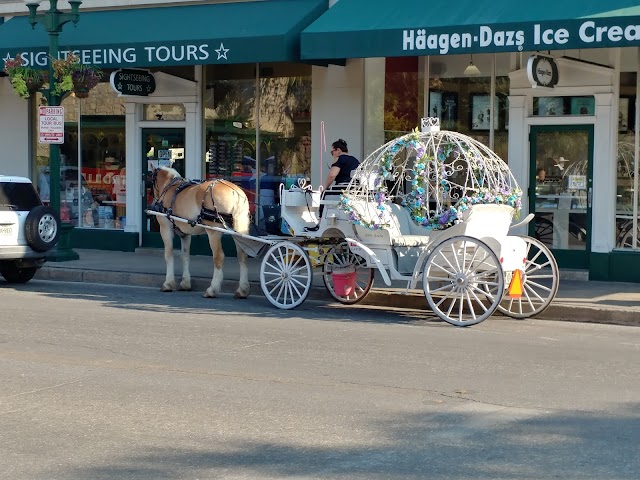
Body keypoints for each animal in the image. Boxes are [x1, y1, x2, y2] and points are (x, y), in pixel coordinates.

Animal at [149, 167, 251, 298]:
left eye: (151, 180)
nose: (154, 201)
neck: (169, 187)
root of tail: (235, 192)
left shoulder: (165, 228)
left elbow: (168, 254)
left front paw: (168, 284)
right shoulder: (185, 233)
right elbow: (185, 256)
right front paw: (185, 283)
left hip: (213, 231)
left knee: (218, 257)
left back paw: (212, 289)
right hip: (239, 229)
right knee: (242, 256)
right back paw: (242, 290)